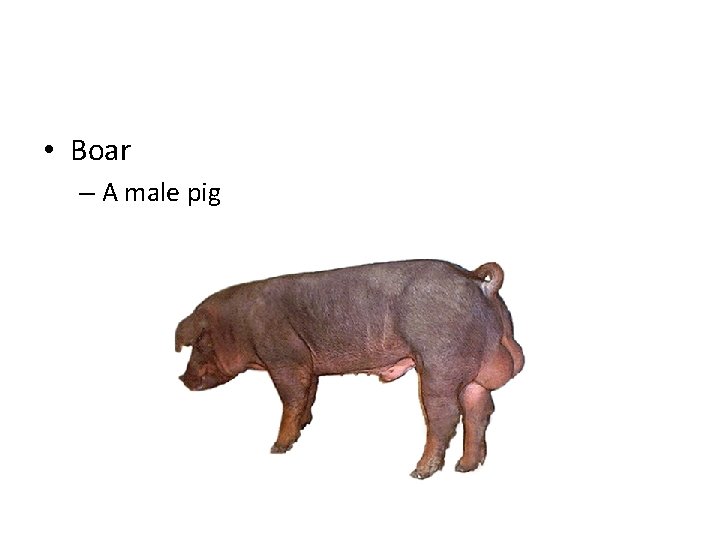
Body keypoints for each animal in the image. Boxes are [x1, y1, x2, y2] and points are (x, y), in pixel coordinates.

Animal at [175, 259, 524, 479]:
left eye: (197, 344)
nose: (182, 379)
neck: (239, 327)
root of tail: (478, 284)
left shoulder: (285, 358)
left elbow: (291, 399)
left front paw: (277, 448)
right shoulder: (309, 366)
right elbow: (308, 395)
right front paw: (303, 428)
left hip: (439, 362)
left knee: (445, 416)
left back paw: (419, 472)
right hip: (472, 372)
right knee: (479, 409)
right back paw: (466, 467)